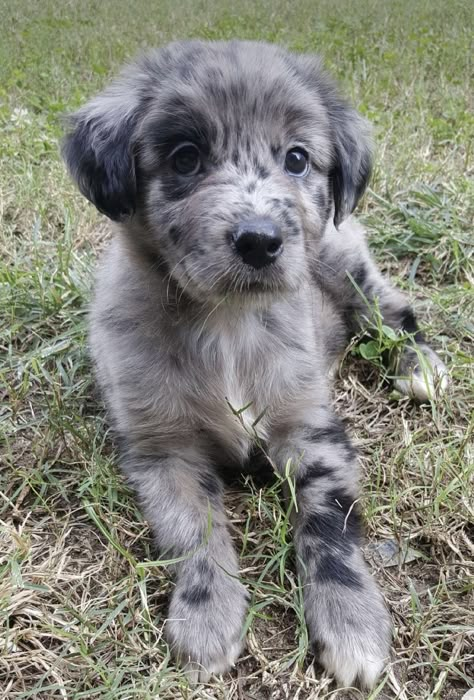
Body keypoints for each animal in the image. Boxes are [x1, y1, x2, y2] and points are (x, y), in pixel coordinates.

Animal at [62, 39, 448, 688]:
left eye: (297, 159)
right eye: (186, 158)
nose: (260, 241)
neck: (227, 326)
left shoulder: (310, 427)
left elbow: (330, 528)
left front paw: (353, 623)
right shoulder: (163, 449)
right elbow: (195, 529)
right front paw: (207, 617)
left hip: (343, 263)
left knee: (391, 307)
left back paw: (420, 365)